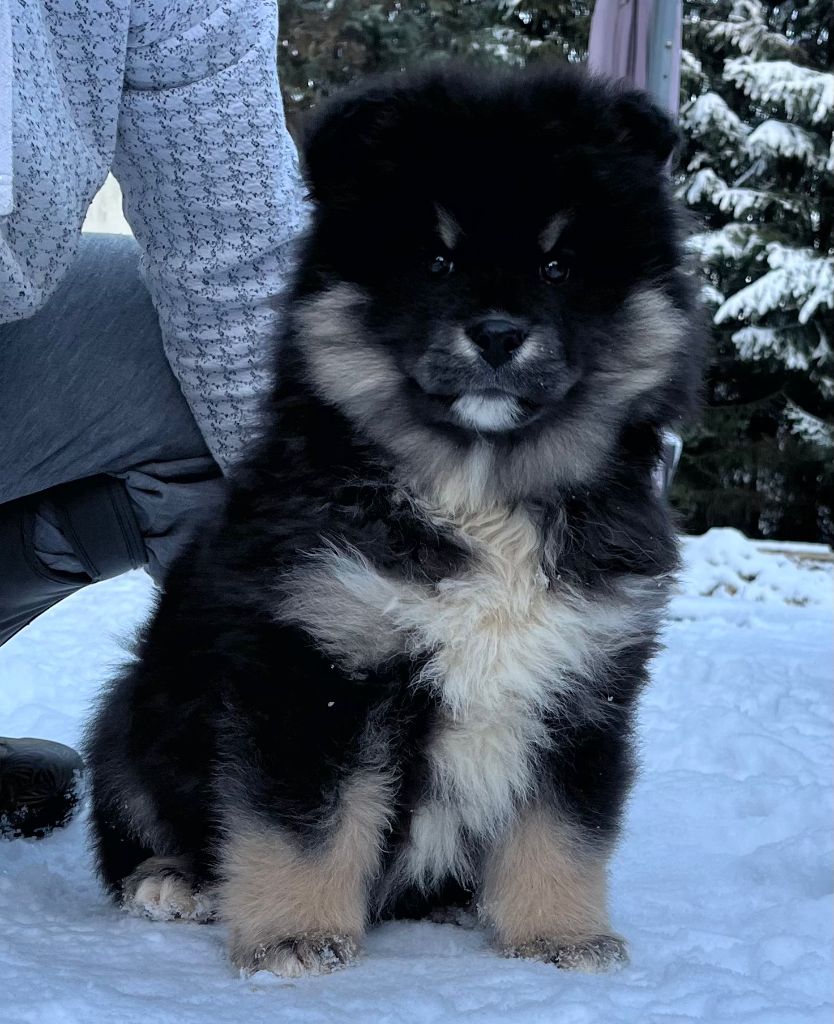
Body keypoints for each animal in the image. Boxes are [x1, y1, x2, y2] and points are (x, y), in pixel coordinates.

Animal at [85, 64, 709, 974]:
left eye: (559, 265)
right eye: (437, 261)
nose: (498, 333)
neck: (479, 489)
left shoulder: (586, 680)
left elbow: (562, 828)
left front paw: (561, 938)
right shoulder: (316, 664)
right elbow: (309, 825)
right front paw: (296, 937)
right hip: (130, 715)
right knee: (138, 818)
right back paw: (173, 881)